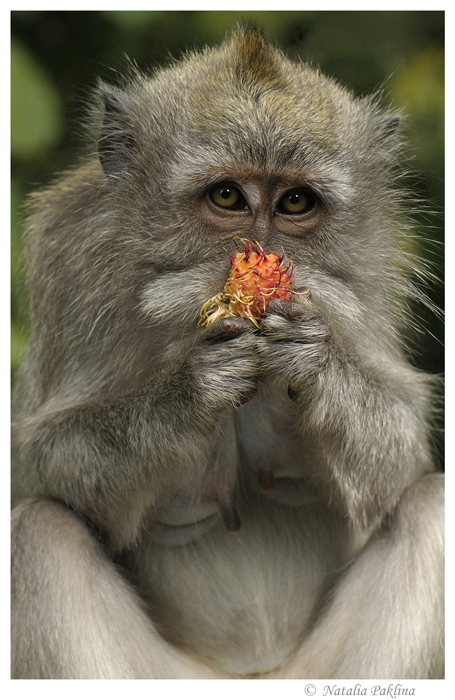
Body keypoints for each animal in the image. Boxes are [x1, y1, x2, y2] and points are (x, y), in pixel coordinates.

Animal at [10, 27, 446, 680]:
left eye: (295, 203)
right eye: (226, 196)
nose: (261, 254)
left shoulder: (366, 277)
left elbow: (393, 461)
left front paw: (316, 363)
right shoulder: (73, 263)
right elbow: (47, 457)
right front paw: (191, 389)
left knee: (431, 509)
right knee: (41, 533)